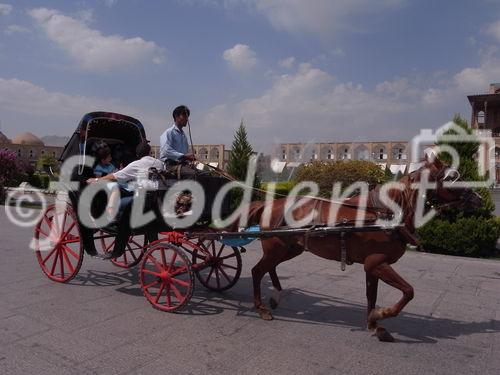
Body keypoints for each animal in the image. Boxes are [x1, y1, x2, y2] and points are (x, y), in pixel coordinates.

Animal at [241, 157, 480, 342]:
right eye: (451, 177)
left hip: (289, 248)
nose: (477, 198)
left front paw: (374, 323)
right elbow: (408, 291)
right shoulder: (377, 262)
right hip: (276, 248)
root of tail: (269, 205)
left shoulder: (372, 265)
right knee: (257, 271)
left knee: (269, 268)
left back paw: (276, 296)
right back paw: (261, 307)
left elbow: (371, 295)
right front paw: (383, 314)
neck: (384, 214)